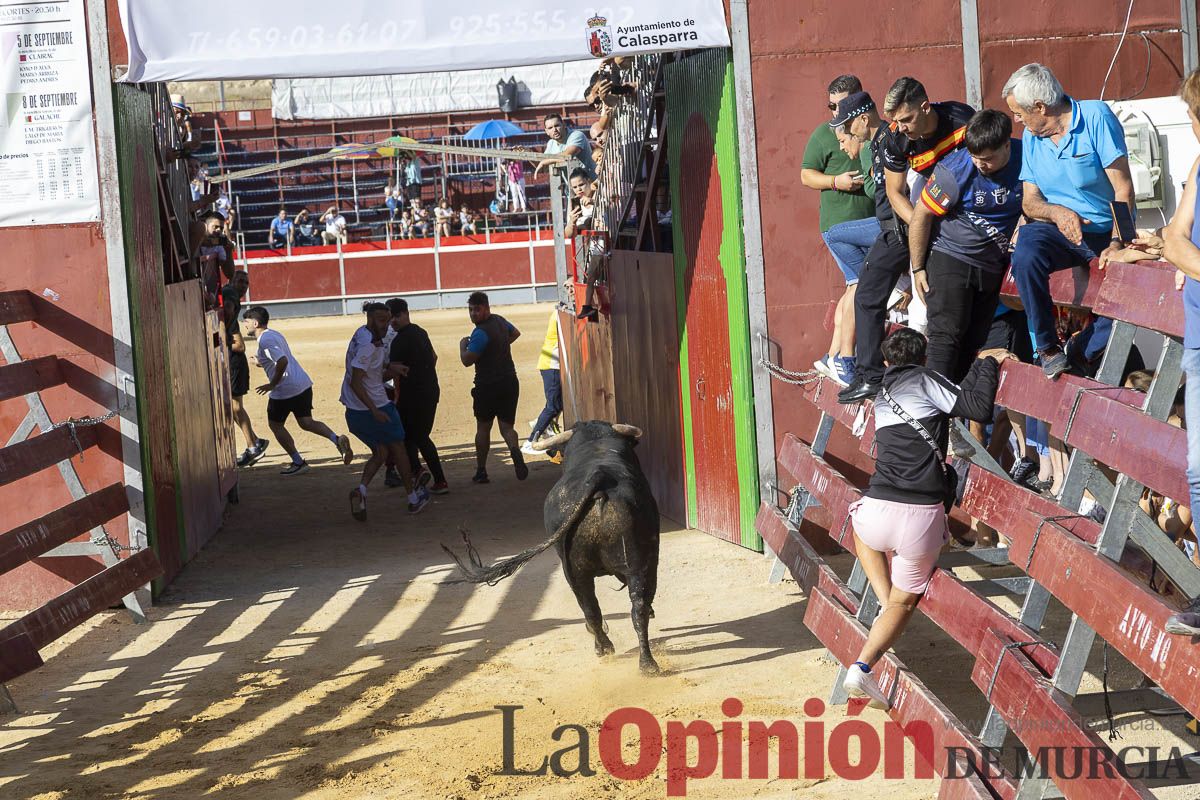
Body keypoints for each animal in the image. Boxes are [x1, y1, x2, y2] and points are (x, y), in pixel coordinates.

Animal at [444, 419, 662, 676]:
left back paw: (607, 649)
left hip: (594, 570)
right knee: (630, 607)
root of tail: (600, 477)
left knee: (599, 609)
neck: (596, 444)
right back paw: (646, 664)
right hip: (630, 566)